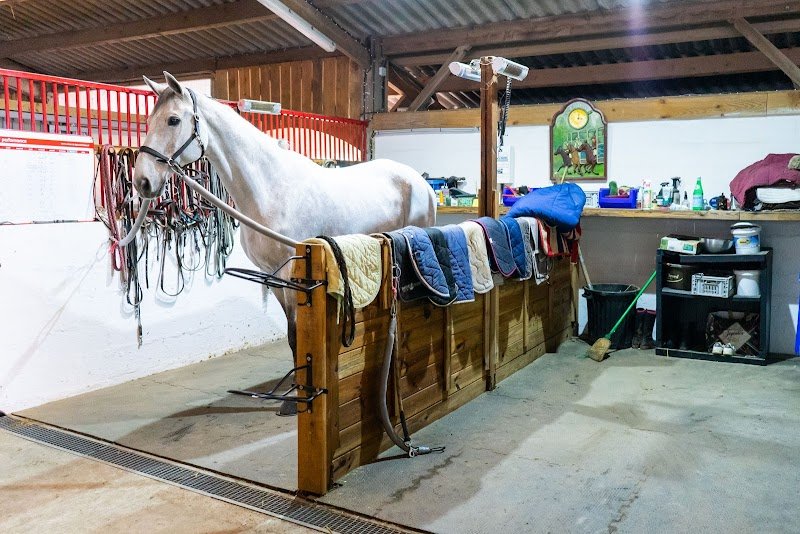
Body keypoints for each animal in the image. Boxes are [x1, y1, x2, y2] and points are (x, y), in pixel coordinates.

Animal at [133, 72, 436, 413]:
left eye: (173, 120)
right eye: (148, 120)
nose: (142, 182)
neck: (270, 189)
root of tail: (421, 181)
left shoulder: (293, 276)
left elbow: (296, 333)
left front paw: (298, 397)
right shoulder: (272, 275)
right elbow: (291, 336)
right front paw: (291, 392)